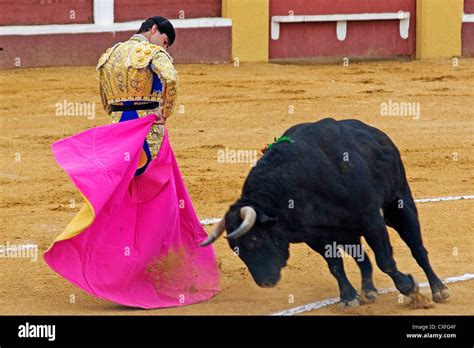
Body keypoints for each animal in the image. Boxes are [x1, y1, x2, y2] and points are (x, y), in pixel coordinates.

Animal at [202, 119, 450, 308]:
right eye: (235, 249)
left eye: (254, 239)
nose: (265, 282)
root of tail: (377, 134)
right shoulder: (316, 236)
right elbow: (336, 265)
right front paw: (348, 297)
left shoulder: (371, 220)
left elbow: (385, 261)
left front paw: (410, 288)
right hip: (348, 231)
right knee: (362, 258)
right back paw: (368, 291)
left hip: (398, 204)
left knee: (417, 248)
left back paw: (439, 289)